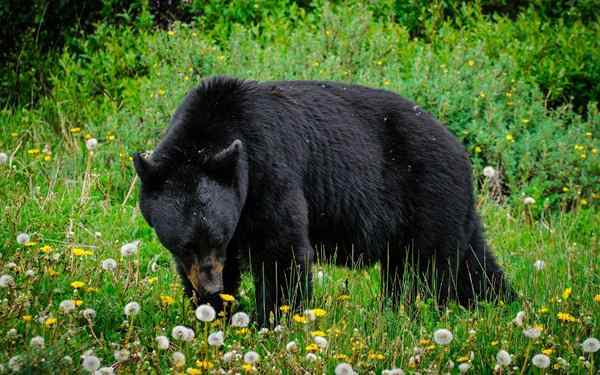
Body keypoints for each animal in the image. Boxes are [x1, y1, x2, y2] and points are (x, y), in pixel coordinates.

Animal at [134, 76, 512, 326]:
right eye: (185, 244)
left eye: (218, 237)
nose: (212, 288)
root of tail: (460, 149)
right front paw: (215, 313)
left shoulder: (268, 170)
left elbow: (280, 250)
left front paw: (273, 320)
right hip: (445, 208)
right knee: (472, 263)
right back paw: (500, 304)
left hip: (426, 194)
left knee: (426, 268)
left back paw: (412, 313)